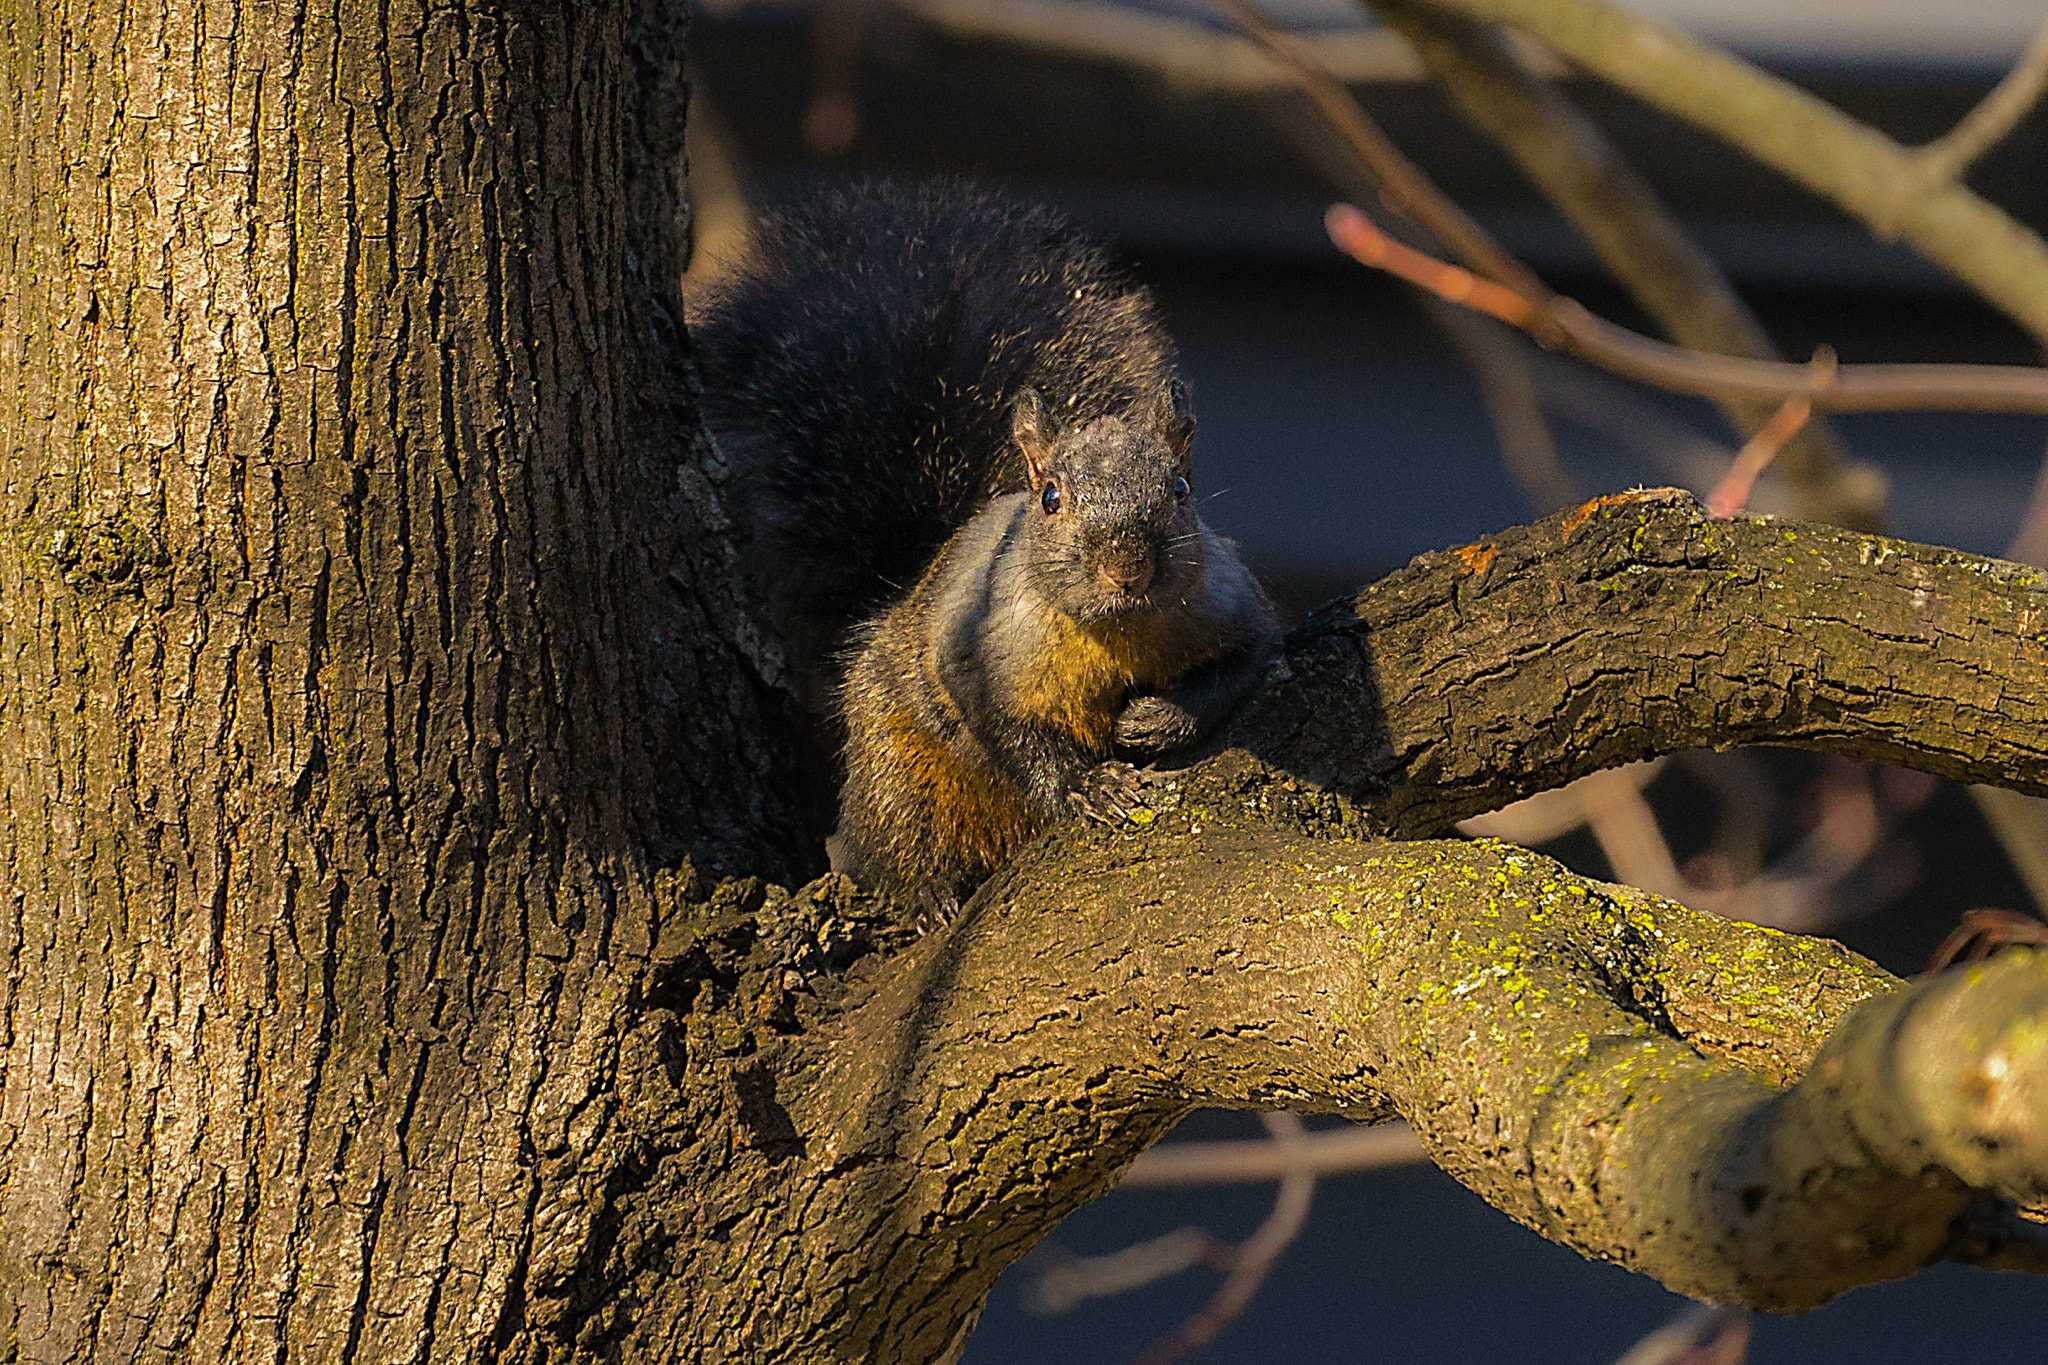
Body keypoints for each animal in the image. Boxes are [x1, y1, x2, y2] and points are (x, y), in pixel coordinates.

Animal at [696, 175, 1269, 912]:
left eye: (1180, 488)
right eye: (1050, 497)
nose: (1128, 568)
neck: (1114, 634)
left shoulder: (1231, 604)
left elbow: (1243, 667)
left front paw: (1155, 721)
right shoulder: (974, 647)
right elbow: (1006, 731)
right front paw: (1087, 784)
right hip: (895, 766)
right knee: (893, 840)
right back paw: (927, 891)